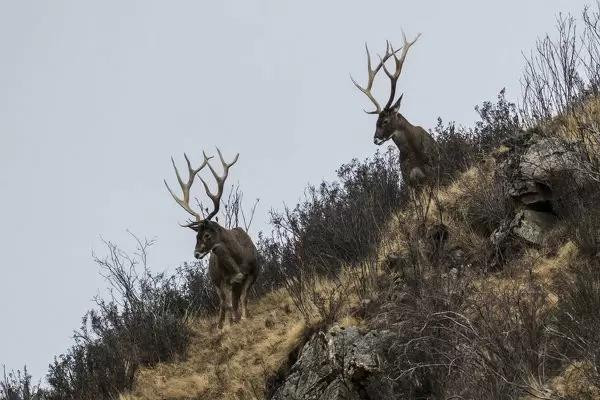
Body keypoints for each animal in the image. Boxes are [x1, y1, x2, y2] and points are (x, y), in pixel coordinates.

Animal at [164, 148, 260, 330]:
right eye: (195, 235)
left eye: (206, 235)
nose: (196, 253)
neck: (238, 264)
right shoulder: (224, 281)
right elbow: (227, 304)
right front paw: (229, 326)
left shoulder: (253, 272)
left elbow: (244, 297)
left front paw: (244, 318)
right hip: (216, 283)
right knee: (223, 303)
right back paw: (221, 324)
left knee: (234, 300)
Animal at [350, 29, 438, 189]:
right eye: (375, 122)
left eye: (385, 121)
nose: (375, 139)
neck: (413, 151)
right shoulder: (407, 180)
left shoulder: (434, 167)